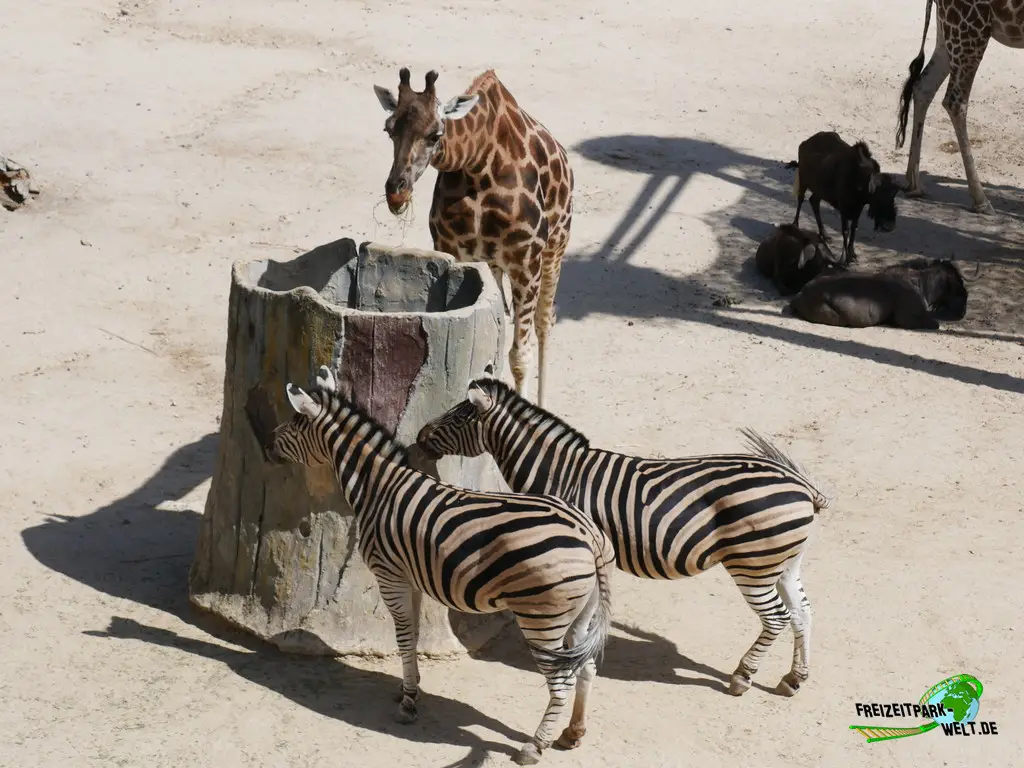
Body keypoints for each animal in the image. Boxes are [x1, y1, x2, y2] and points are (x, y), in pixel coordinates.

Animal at [372, 67, 574, 408]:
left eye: (435, 134)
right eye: (389, 130)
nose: (396, 193)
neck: (479, 163)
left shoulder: (526, 261)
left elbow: (520, 357)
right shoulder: (451, 249)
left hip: (555, 247)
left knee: (545, 323)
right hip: (495, 264)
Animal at [895, 0, 1024, 214]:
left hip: (946, 29)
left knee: (923, 85)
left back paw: (914, 184)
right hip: (970, 30)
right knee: (955, 101)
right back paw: (981, 201)